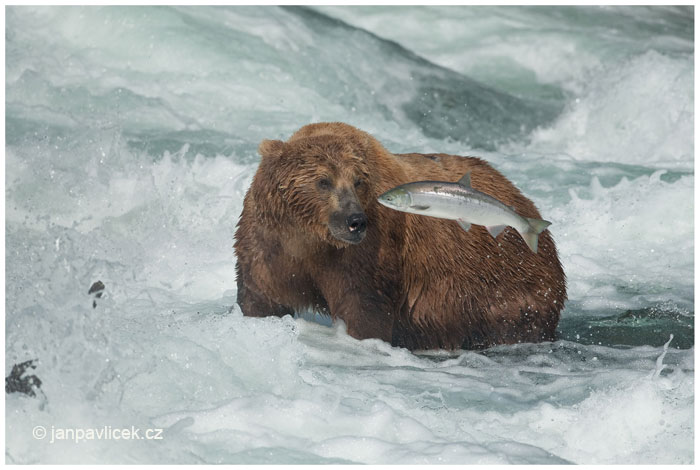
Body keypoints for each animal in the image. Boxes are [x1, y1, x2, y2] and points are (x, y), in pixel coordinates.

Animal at [234, 123, 564, 350]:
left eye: (358, 181)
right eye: (323, 181)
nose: (355, 222)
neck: (312, 237)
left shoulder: (369, 251)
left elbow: (363, 307)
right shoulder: (270, 241)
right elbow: (260, 294)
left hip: (505, 288)